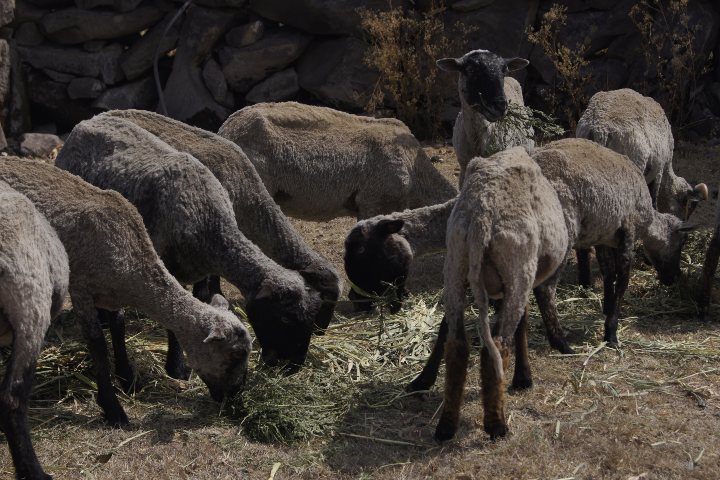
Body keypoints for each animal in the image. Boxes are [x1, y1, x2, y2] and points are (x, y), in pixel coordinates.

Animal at [0, 157, 252, 427]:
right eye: (236, 354)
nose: (236, 394)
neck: (132, 261)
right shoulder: (81, 289)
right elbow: (97, 345)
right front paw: (113, 408)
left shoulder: (111, 294)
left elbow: (119, 328)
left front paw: (128, 380)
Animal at [432, 147, 569, 441]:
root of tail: (482, 216)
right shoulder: (523, 279)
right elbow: (523, 325)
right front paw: (524, 378)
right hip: (518, 267)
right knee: (496, 347)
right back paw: (496, 425)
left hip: (455, 264)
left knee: (457, 345)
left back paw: (446, 425)